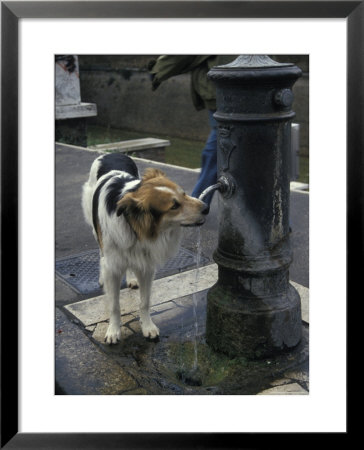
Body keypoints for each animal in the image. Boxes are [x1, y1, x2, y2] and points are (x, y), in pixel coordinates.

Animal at [82, 153, 208, 342]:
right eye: (174, 206)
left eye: (184, 194)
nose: (206, 208)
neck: (134, 226)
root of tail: (112, 153)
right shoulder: (113, 266)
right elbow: (114, 305)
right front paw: (113, 330)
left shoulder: (146, 265)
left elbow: (145, 301)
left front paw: (147, 326)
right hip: (94, 225)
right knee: (100, 250)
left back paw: (132, 279)